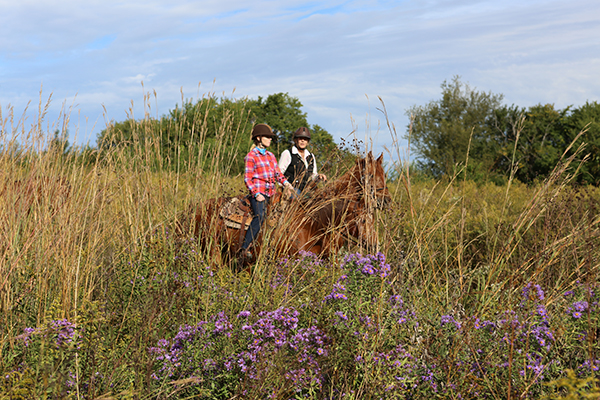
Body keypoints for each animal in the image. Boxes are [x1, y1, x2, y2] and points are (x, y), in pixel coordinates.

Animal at [182, 152, 390, 268]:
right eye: (371, 175)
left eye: (385, 175)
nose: (386, 200)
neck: (311, 222)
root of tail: (196, 208)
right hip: (211, 251)